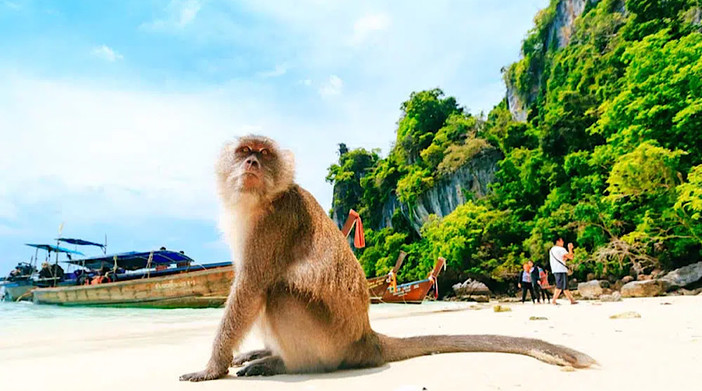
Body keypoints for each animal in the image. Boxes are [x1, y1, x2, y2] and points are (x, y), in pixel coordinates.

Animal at [179, 136, 596, 382]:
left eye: (263, 154)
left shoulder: (273, 223)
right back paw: (268, 353)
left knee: (277, 291)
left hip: (329, 343)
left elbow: (250, 287)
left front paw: (212, 368)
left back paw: (284, 363)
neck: (261, 200)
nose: (251, 164)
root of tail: (367, 338)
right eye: (243, 152)